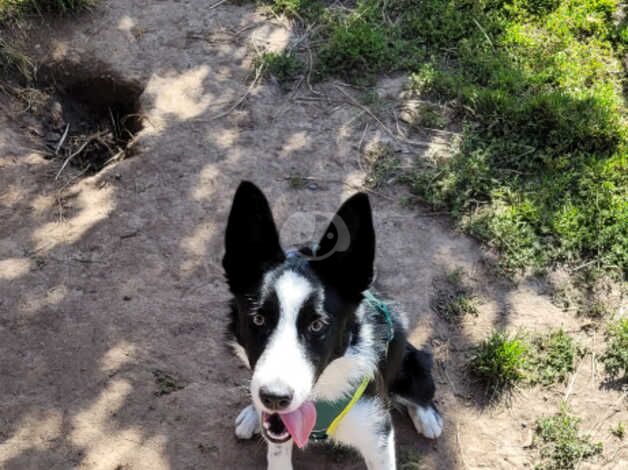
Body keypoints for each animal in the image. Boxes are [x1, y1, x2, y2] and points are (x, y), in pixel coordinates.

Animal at [223, 182, 444, 468]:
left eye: (317, 325)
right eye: (258, 319)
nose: (275, 398)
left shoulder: (378, 437)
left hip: (409, 361)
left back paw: (427, 417)